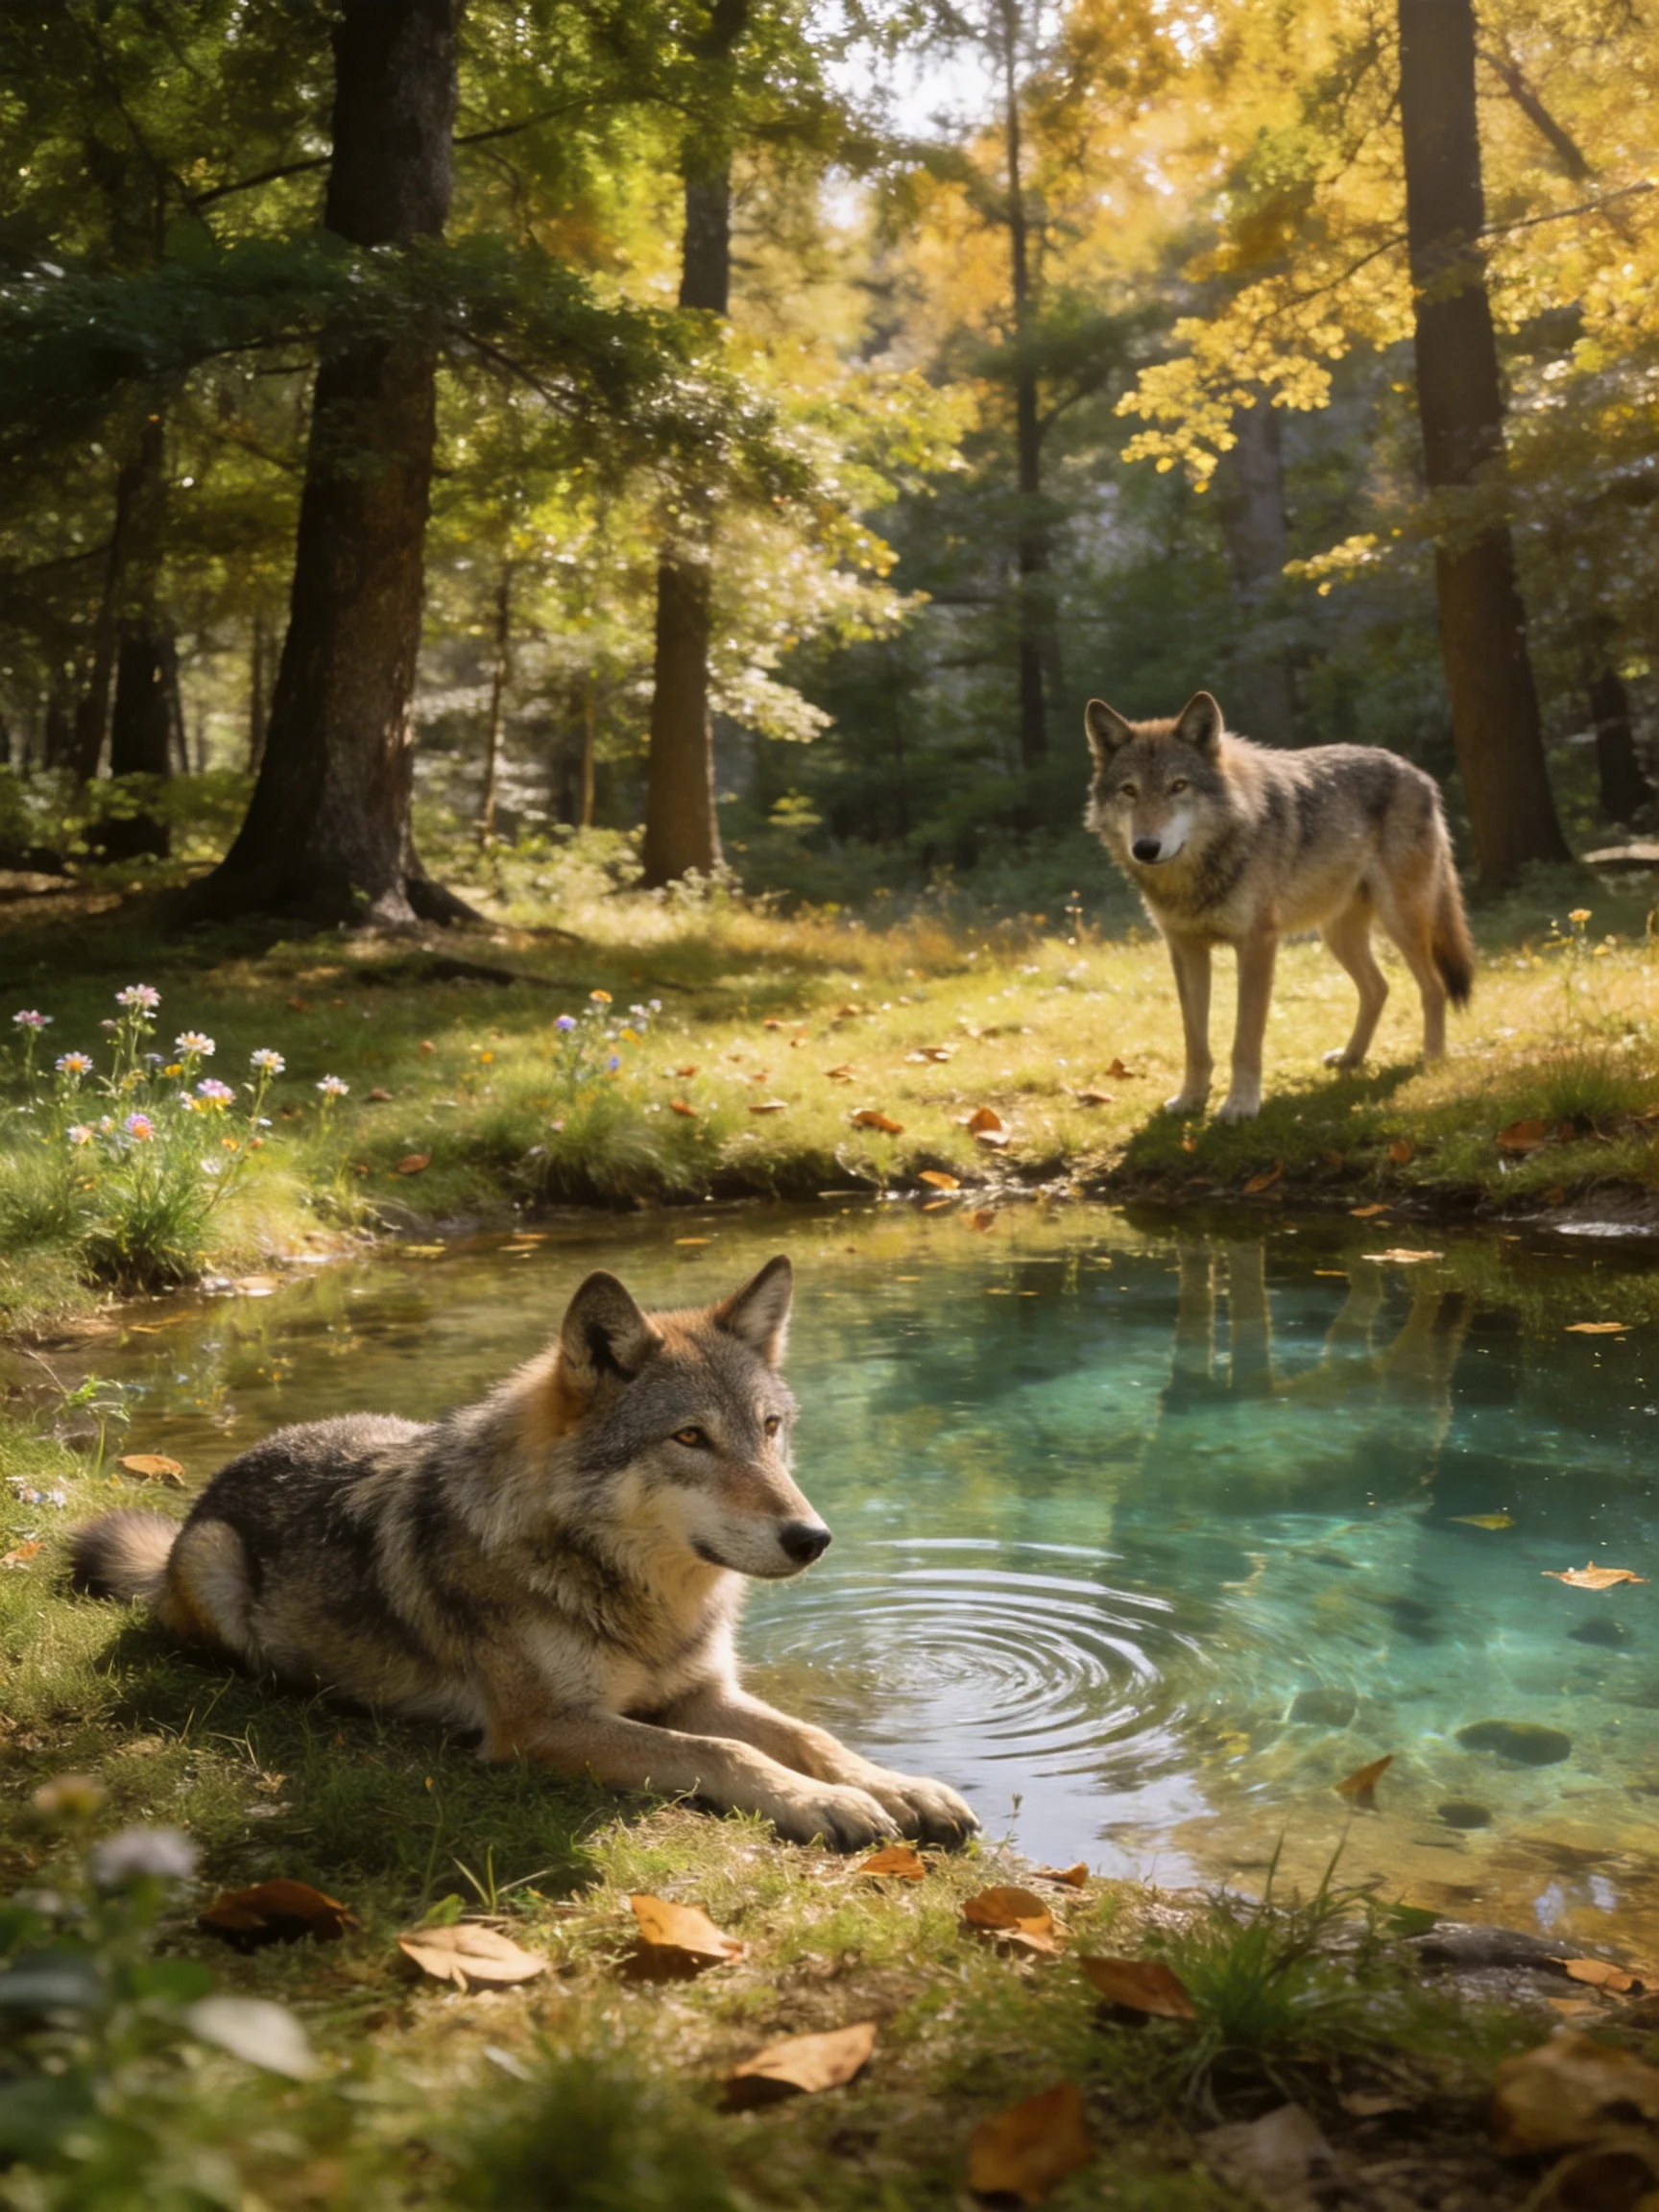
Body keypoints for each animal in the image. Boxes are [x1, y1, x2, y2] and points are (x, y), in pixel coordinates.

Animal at [69, 1256, 977, 1851]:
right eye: (690, 1437)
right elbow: (723, 1752)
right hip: (217, 1566)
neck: (644, 1599)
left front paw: (900, 1787)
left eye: (769, 1428)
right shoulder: (543, 1727)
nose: (813, 1538)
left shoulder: (698, 1690)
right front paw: (827, 1806)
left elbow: (808, 1736)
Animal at [1084, 691, 1474, 1121]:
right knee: (1378, 988)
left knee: (1433, 987)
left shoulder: (1257, 944)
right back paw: (1350, 1058)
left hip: (1400, 921)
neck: (1197, 874)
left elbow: (1245, 1037)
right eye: (1129, 790)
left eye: (1178, 786)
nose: (1146, 848)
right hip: (1337, 935)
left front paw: (1240, 1105)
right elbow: (1194, 1041)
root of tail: (1420, 775)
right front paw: (1190, 1099)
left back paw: (1431, 1059)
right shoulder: (1185, 949)